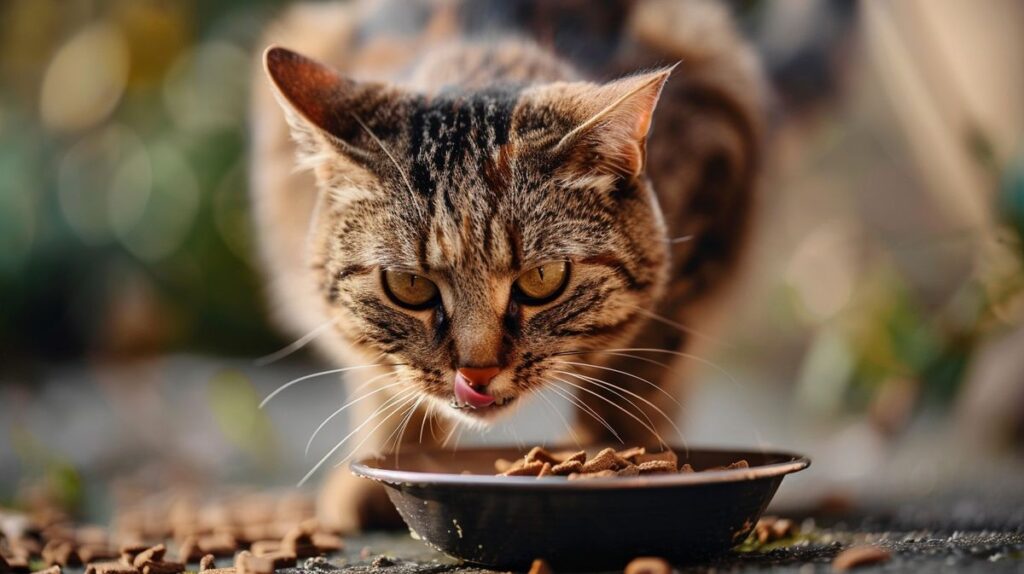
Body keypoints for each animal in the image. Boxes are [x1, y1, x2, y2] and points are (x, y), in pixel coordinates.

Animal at [249, 0, 761, 532]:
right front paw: (390, 458)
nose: (476, 374)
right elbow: (379, 373)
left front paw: (616, 458)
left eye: (543, 279)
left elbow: (636, 376)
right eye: (408, 285)